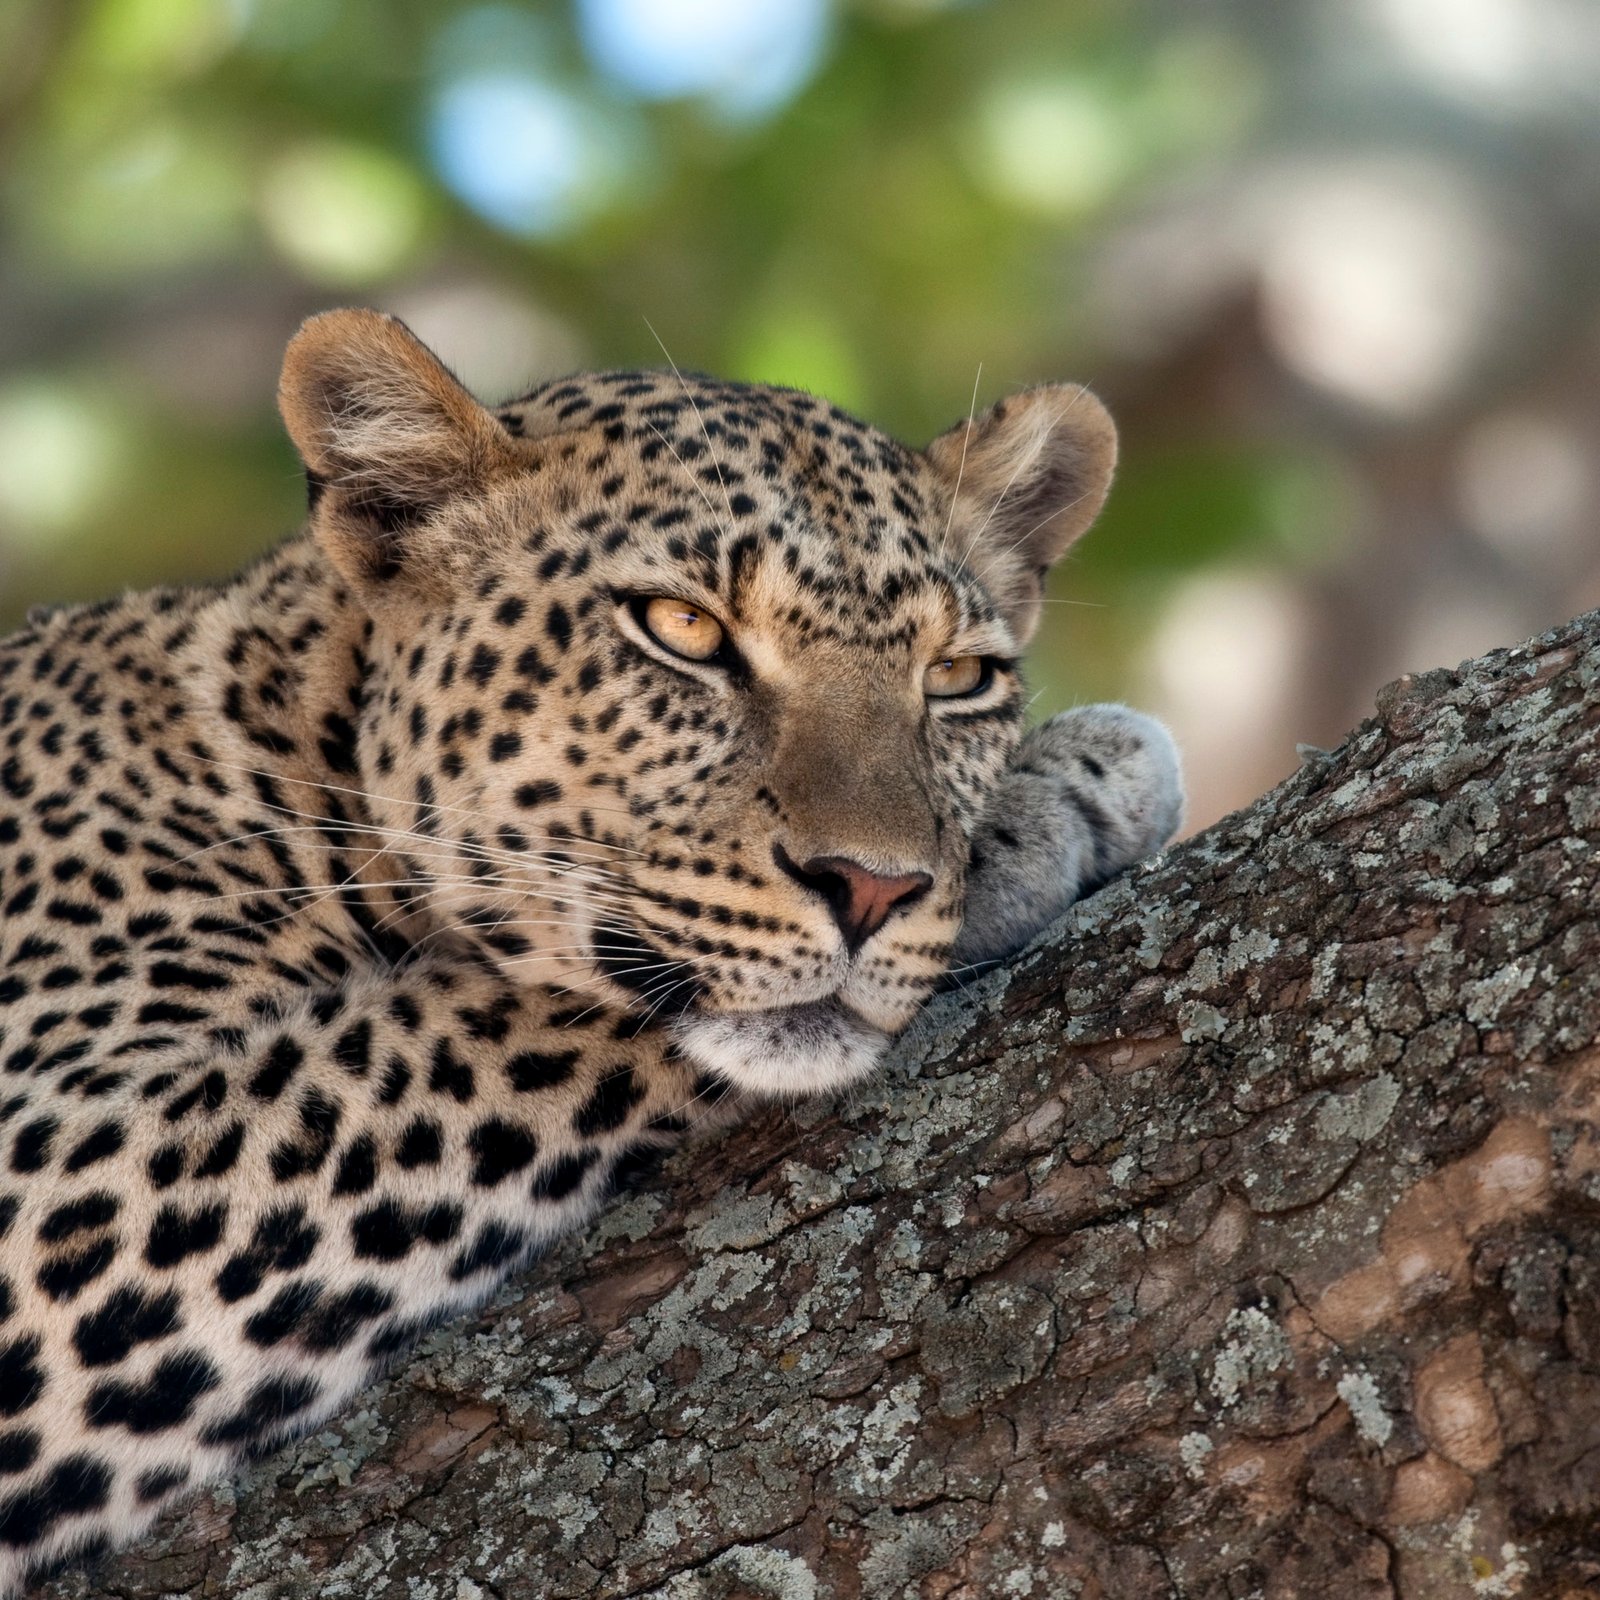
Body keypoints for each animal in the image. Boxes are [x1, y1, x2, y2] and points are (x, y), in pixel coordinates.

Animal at [0, 308, 1177, 1587]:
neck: (292, 748)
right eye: (684, 630)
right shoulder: (56, 1173)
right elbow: (478, 1017)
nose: (873, 886)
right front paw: (1050, 805)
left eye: (956, 677)